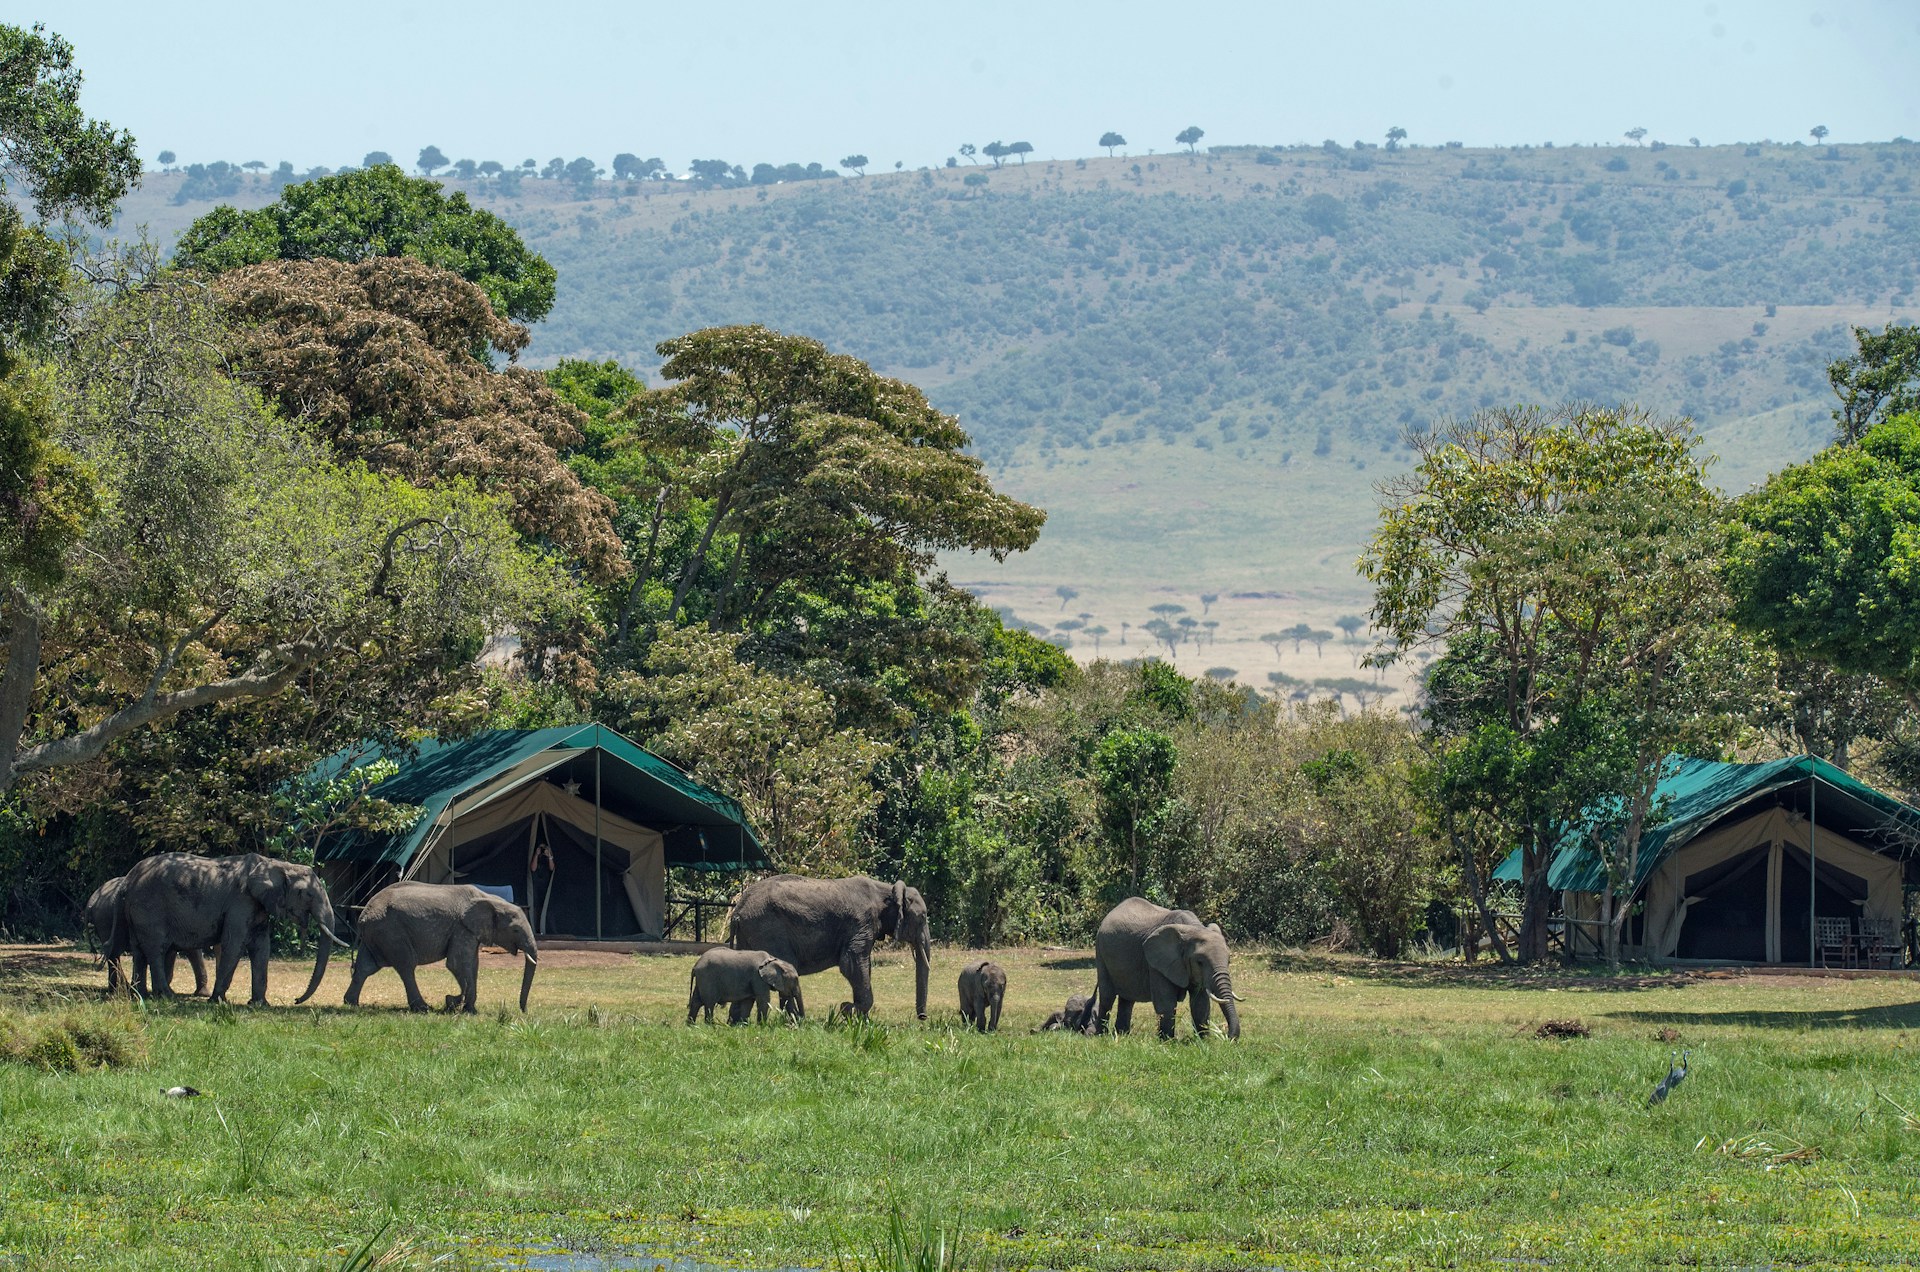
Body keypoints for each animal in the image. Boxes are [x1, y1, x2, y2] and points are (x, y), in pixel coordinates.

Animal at [118, 852, 343, 1006]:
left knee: (139, 951)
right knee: (156, 949)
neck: (276, 864)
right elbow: (234, 945)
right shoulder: (241, 901)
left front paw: (259, 1005)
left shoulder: (258, 906)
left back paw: (142, 995)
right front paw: (218, 1001)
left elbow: (262, 948)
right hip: (150, 908)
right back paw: (166, 995)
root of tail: (129, 880)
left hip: (137, 913)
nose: (296, 1000)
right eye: (308, 894)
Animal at [343, 881, 538, 1013]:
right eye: (515, 930)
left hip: (377, 934)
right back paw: (422, 1008)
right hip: (391, 932)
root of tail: (363, 915)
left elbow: (472, 965)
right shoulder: (461, 928)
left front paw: (467, 1008)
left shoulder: (469, 932)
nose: (523, 1010)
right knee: (406, 966)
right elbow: (457, 964)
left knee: (365, 968)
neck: (490, 899)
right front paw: (458, 1004)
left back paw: (351, 1003)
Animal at [728, 874, 930, 1021]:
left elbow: (861, 966)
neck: (887, 890)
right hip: (768, 929)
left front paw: (862, 1022)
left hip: (749, 933)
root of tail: (737, 911)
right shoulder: (860, 923)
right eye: (922, 918)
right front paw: (846, 1010)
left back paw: (737, 1023)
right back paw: (795, 1022)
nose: (922, 1018)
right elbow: (851, 963)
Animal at [1088, 897, 1242, 1040]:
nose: (1228, 1037)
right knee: (1107, 996)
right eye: (1200, 962)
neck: (1193, 929)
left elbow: (1200, 1003)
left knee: (1127, 999)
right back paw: (1101, 1035)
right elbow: (1166, 1002)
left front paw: (1203, 1041)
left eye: (1229, 961)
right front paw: (1167, 1041)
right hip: (1100, 951)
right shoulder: (1156, 963)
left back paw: (1122, 1035)